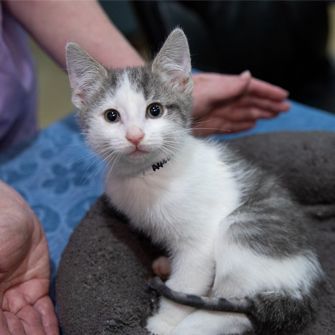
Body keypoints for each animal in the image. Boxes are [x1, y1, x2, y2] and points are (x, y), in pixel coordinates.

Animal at [66, 29, 326, 335]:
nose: (134, 136)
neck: (150, 174)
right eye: (111, 116)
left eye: (155, 110)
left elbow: (187, 282)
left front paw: (164, 322)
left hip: (242, 229)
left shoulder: (199, 246)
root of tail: (301, 294)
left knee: (234, 313)